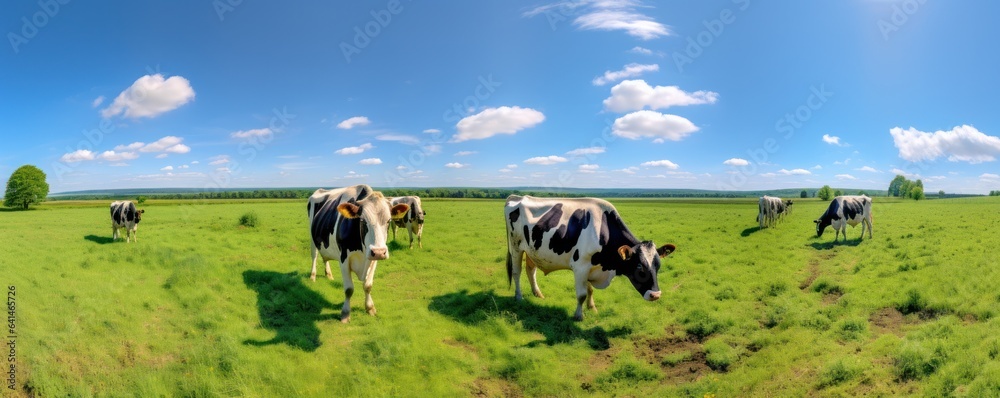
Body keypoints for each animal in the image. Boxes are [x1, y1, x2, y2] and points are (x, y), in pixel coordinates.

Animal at [308, 185, 410, 322]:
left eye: (389, 221)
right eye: (362, 221)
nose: (379, 252)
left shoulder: (373, 259)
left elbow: (368, 285)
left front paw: (370, 308)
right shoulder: (344, 260)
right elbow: (349, 289)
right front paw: (345, 313)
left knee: (325, 258)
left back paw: (329, 275)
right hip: (313, 238)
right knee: (314, 256)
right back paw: (313, 276)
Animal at [504, 194, 676, 322]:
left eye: (658, 266)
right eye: (639, 266)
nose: (655, 295)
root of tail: (518, 197)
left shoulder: (590, 267)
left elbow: (590, 290)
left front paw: (592, 308)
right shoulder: (581, 267)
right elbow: (581, 294)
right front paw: (578, 316)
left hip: (533, 250)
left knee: (531, 271)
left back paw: (538, 294)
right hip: (516, 247)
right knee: (517, 272)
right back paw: (519, 297)